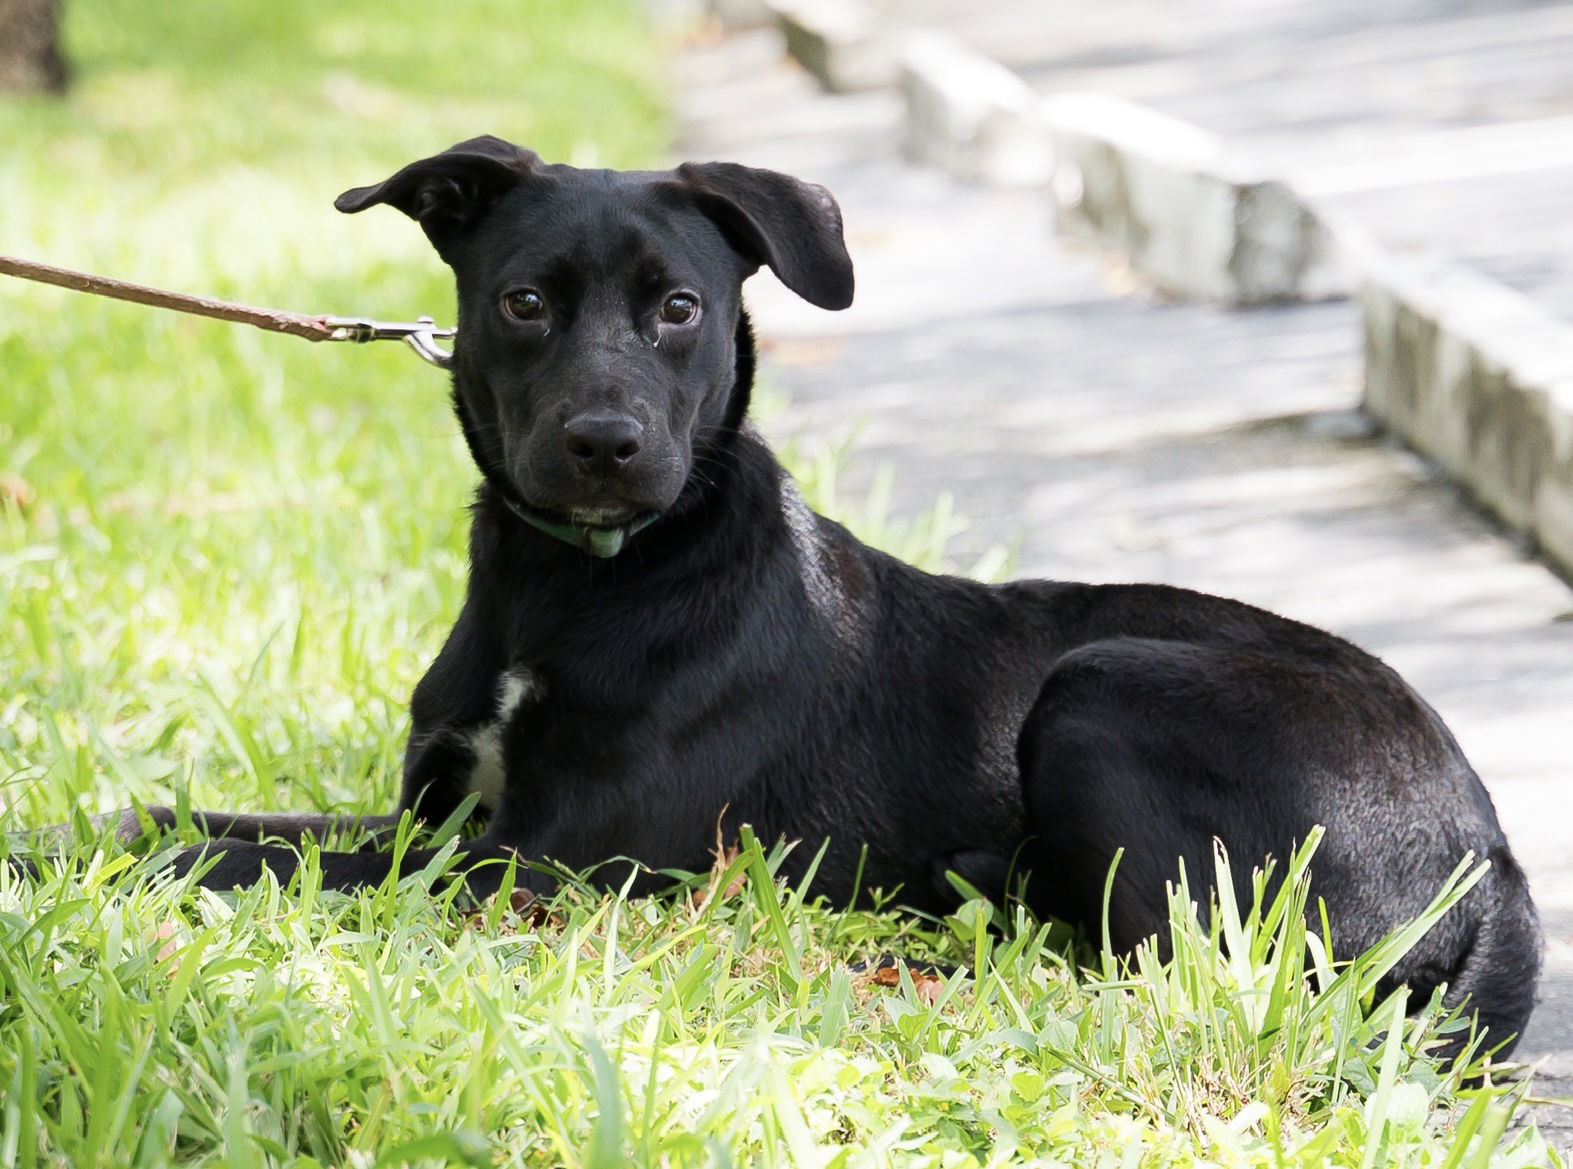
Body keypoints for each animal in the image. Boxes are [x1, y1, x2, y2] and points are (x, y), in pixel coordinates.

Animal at [46, 136, 1535, 1063]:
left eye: (679, 307)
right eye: (522, 301)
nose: (604, 445)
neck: (577, 580)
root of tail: (1497, 855)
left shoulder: (546, 864)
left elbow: (243, 857)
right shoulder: (442, 812)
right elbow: (199, 821)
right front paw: (73, 839)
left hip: (1105, 684)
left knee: (1174, 964)